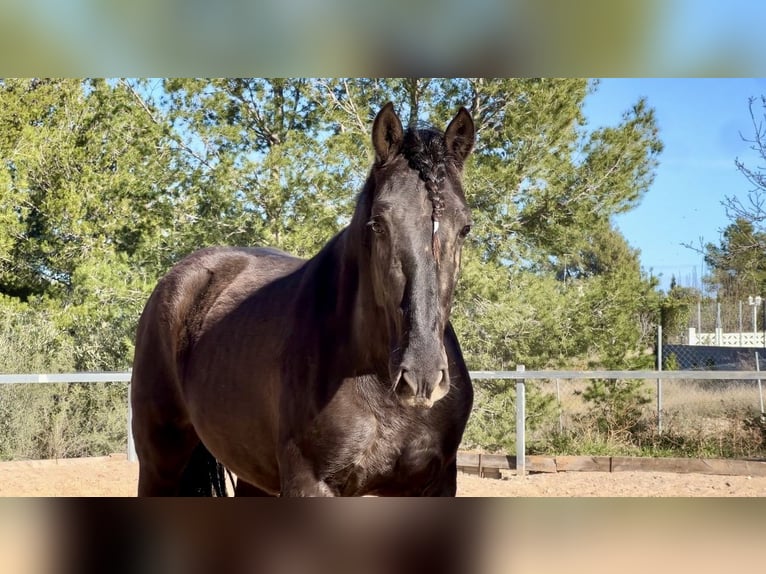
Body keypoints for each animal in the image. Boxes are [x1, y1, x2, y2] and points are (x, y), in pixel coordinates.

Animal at [133, 101, 480, 498]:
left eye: (465, 227)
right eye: (378, 224)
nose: (421, 377)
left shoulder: (435, 484)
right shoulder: (309, 483)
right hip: (159, 463)